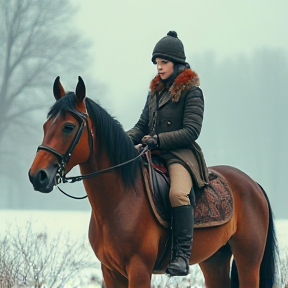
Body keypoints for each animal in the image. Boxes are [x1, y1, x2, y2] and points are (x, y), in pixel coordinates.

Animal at [28, 75, 278, 286]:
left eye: (68, 127)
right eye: (45, 126)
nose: (37, 176)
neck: (120, 199)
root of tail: (253, 184)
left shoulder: (139, 269)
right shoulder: (110, 272)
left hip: (248, 262)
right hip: (214, 260)